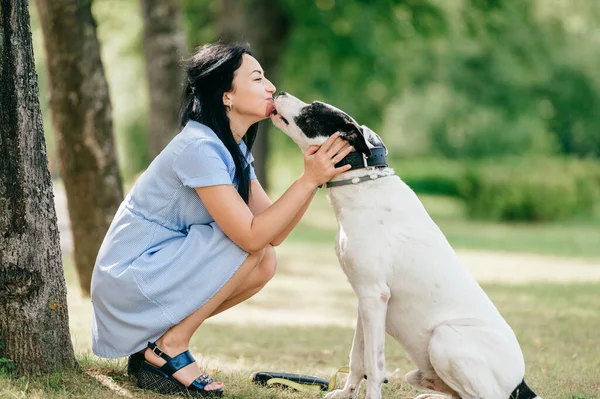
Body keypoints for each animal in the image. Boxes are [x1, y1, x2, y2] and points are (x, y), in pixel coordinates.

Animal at [270, 91, 540, 399]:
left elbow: (374, 366)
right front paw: (346, 393)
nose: (279, 92)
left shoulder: (374, 296)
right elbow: (357, 357)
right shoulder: (365, 299)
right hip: (420, 371)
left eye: (313, 109)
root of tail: (521, 383)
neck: (361, 182)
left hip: (445, 338)